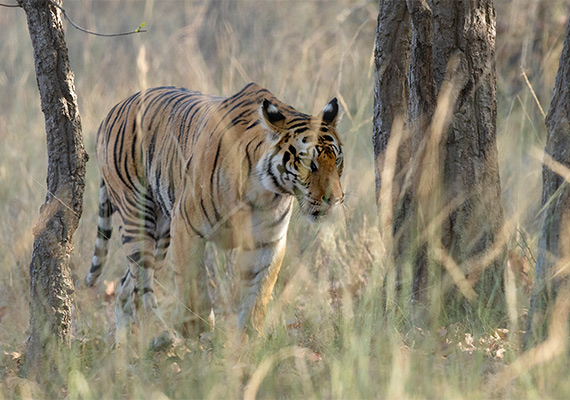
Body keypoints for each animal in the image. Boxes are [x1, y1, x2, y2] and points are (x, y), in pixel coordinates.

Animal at [84, 83, 342, 340]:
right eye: (309, 164)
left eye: (337, 161)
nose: (335, 199)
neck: (265, 191)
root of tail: (114, 109)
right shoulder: (186, 226)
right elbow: (192, 284)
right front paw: (197, 330)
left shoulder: (268, 242)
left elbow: (258, 293)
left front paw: (250, 336)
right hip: (138, 217)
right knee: (143, 285)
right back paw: (162, 335)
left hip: (160, 234)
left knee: (126, 289)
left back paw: (127, 343)